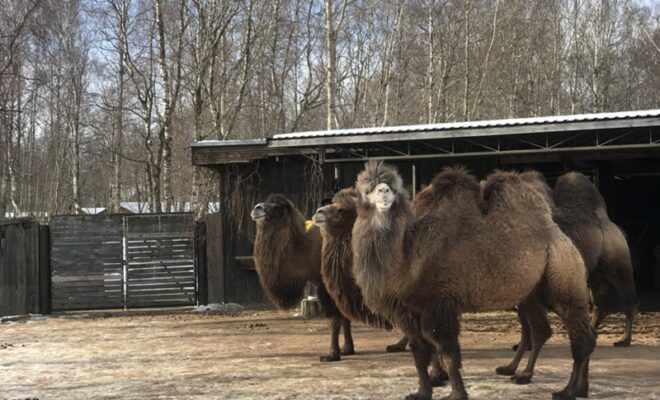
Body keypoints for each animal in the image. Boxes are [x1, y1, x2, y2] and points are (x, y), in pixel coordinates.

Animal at [250, 194, 354, 362]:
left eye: (276, 207)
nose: (256, 208)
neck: (305, 249)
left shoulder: (326, 285)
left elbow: (333, 320)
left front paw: (332, 354)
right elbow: (345, 317)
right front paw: (347, 349)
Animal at [351, 161, 596, 400]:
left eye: (392, 187)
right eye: (367, 189)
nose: (383, 190)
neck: (406, 256)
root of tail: (560, 236)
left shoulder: (439, 305)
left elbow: (448, 352)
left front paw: (456, 394)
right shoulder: (408, 312)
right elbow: (419, 353)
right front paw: (422, 392)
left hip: (563, 277)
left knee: (580, 336)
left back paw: (568, 390)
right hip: (533, 293)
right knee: (550, 332)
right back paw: (557, 383)